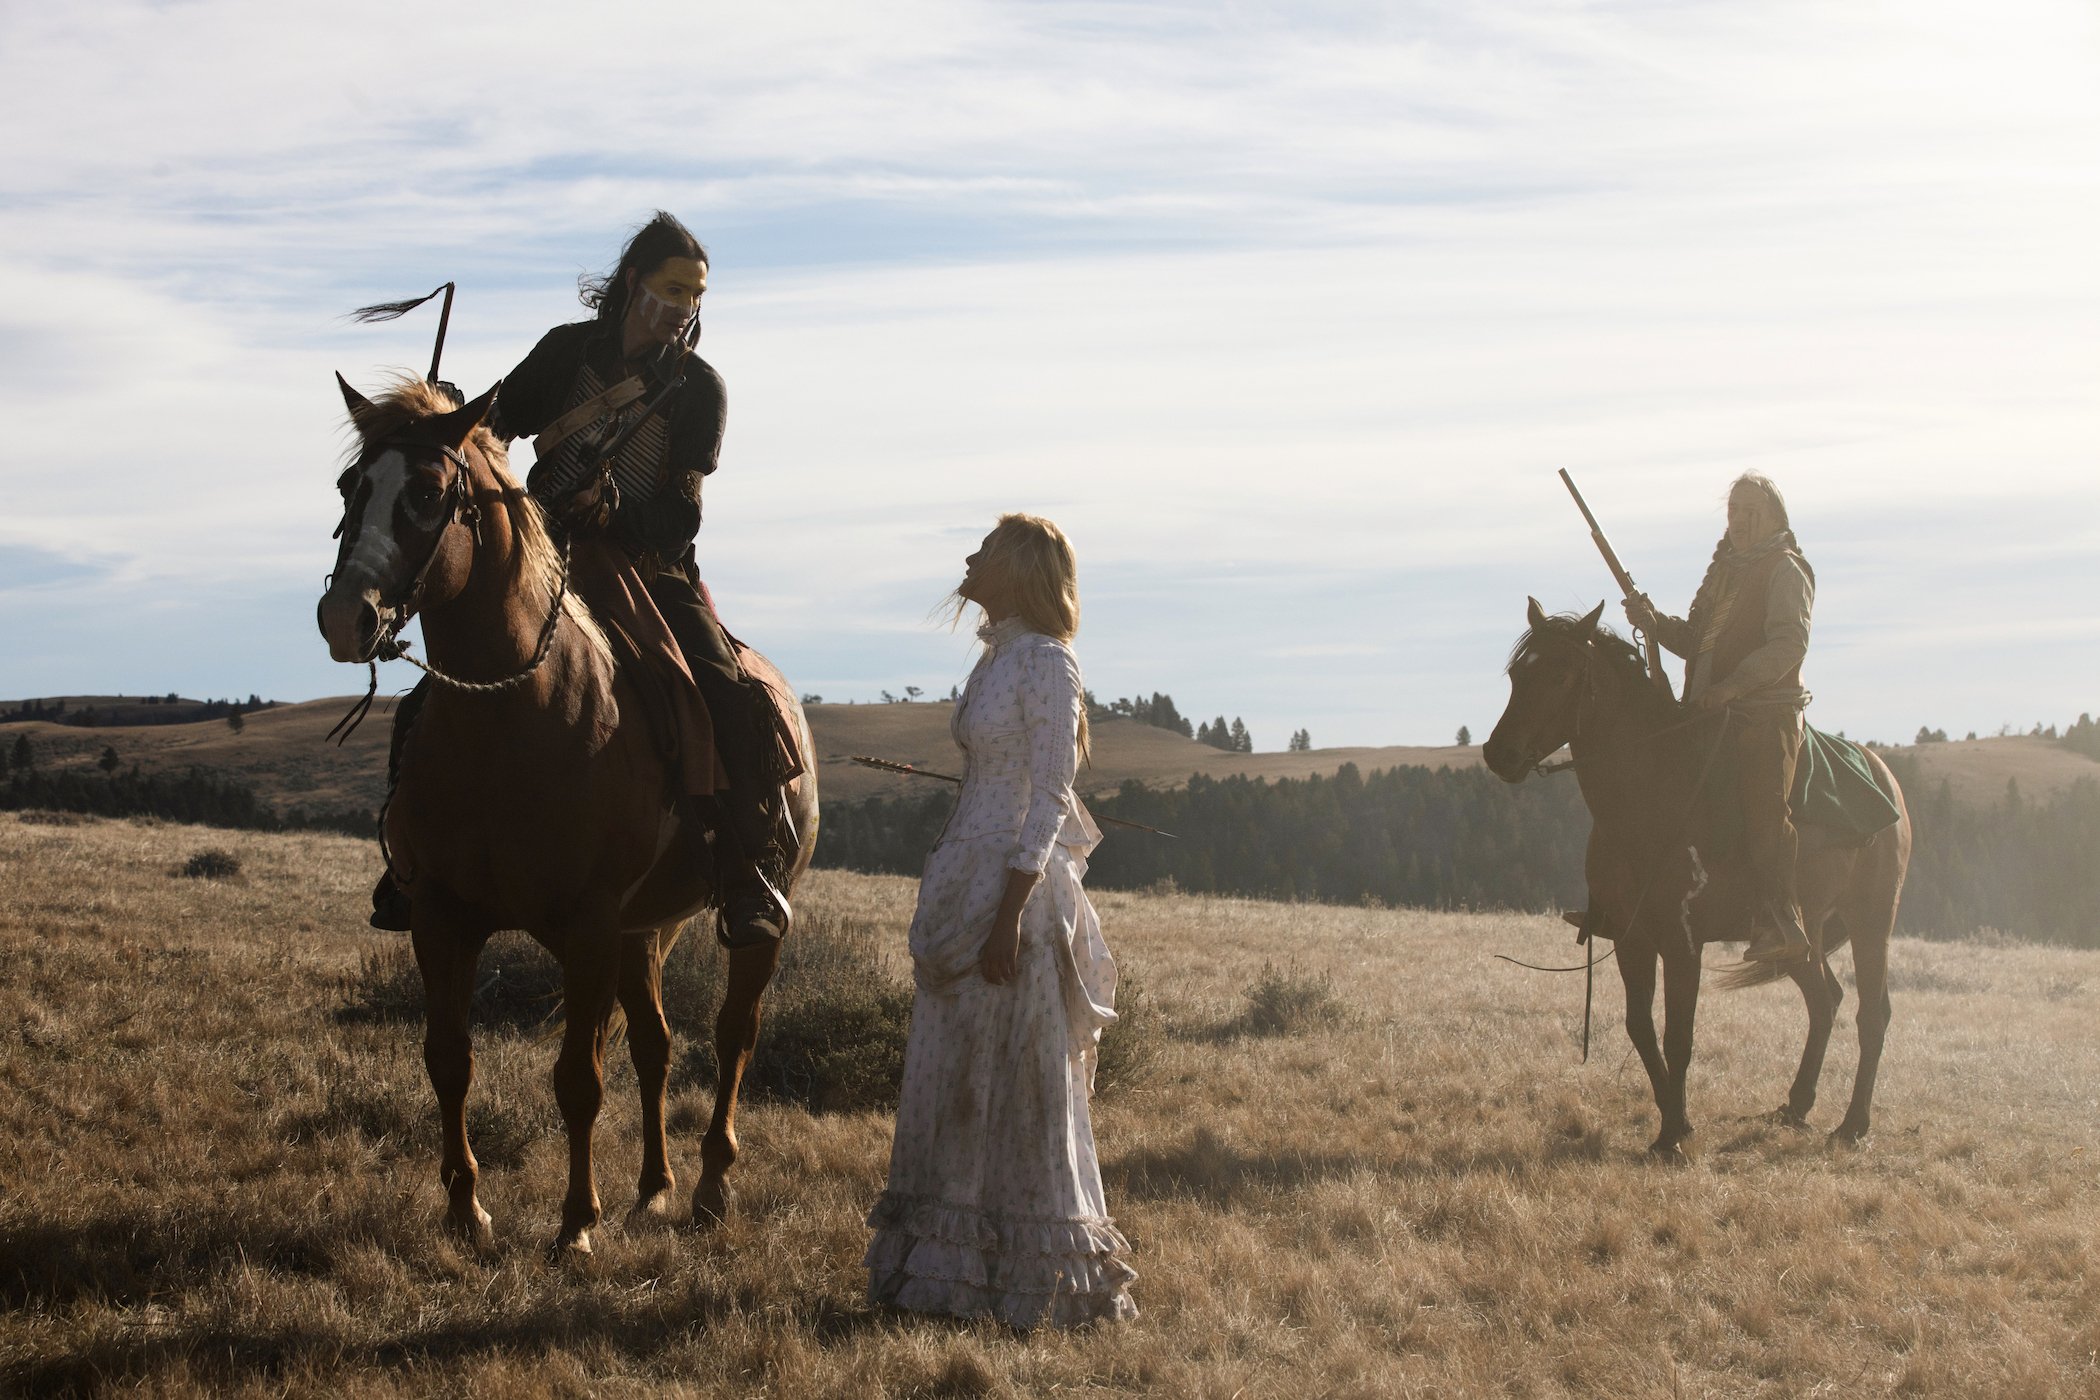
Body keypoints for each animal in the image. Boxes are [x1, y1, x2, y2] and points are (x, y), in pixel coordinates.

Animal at [315, 377, 814, 1250]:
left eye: (427, 494)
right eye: (352, 487)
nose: (347, 617)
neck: (511, 721)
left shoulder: (586, 927)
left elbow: (579, 1077)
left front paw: (576, 1223)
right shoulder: (441, 918)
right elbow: (448, 1059)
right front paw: (465, 1210)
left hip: (748, 919)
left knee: (733, 1034)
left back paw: (711, 1185)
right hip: (644, 929)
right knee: (655, 1045)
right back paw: (653, 1188)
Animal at [1486, 596, 1915, 1158]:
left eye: (1561, 676)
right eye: (1518, 674)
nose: (1499, 754)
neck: (1651, 793)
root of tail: (1884, 775)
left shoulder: (1682, 939)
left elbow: (1679, 1035)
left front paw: (1672, 1135)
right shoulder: (1631, 938)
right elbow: (1641, 1028)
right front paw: (1678, 1122)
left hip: (1871, 919)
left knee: (1872, 1013)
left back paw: (1852, 1125)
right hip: (1802, 934)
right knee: (1825, 1001)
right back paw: (1795, 1106)